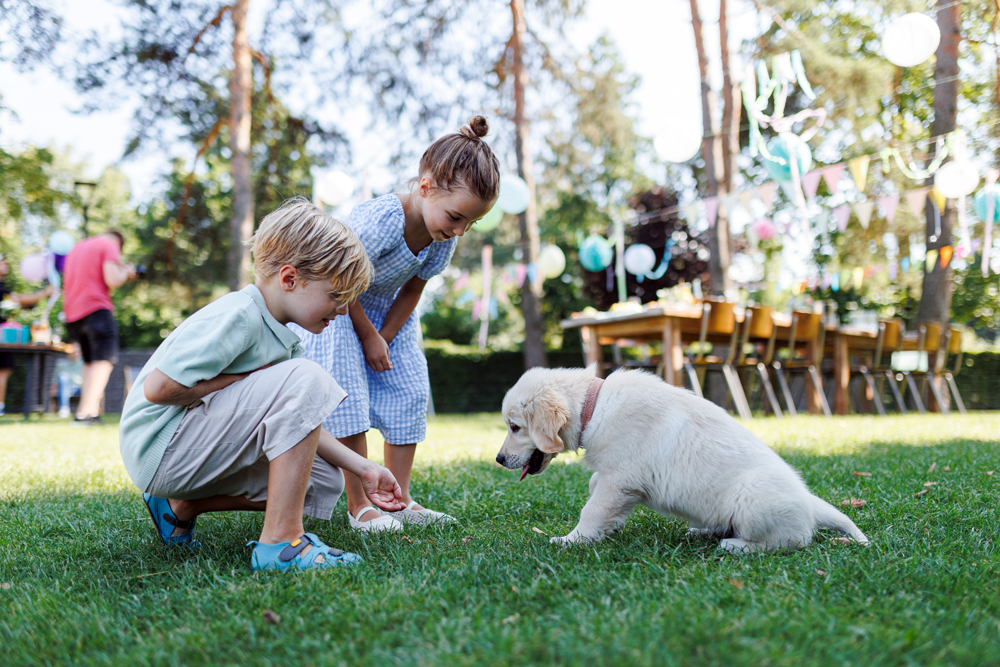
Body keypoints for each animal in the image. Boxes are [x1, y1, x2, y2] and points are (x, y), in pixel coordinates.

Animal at [500, 366, 868, 552]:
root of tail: (809, 503)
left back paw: (736, 546)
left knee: (792, 541)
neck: (595, 405)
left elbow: (592, 509)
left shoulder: (620, 478)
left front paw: (572, 540)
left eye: (515, 427)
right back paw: (704, 532)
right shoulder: (615, 478)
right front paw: (609, 528)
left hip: (753, 500)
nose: (499, 459)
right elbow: (595, 489)